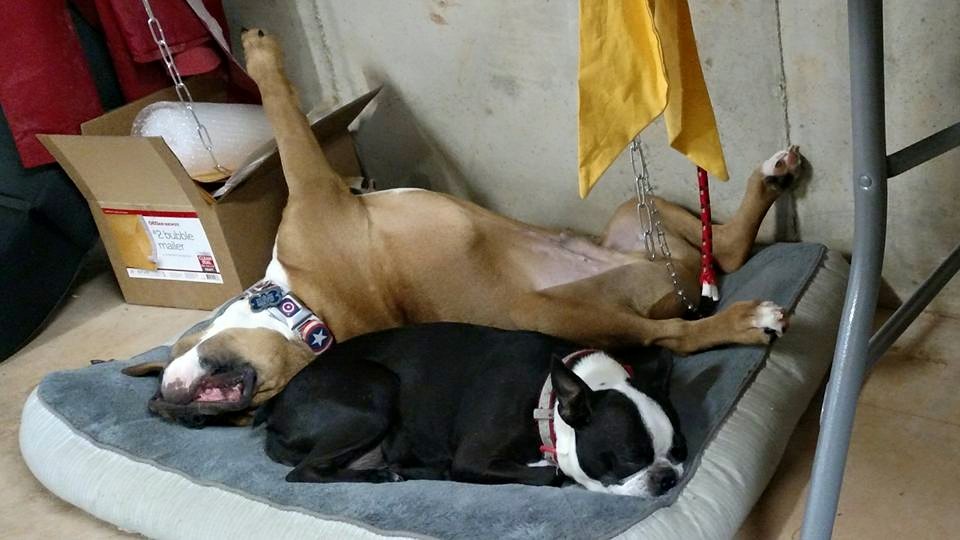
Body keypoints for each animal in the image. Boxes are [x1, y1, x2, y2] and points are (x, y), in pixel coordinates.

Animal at [124, 28, 801, 425]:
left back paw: (770, 181)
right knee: (679, 333)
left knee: (727, 251)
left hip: (635, 218)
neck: (305, 312)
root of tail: (673, 282)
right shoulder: (312, 182)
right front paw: (261, 51)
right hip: (566, 311)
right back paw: (744, 320)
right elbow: (284, 113)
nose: (164, 407)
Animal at [255, 322, 686, 497]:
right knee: (303, 471)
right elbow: (550, 475)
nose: (668, 478)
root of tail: (274, 411)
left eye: (680, 451)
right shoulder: (473, 458)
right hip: (375, 396)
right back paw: (383, 475)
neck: (546, 404)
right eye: (630, 459)